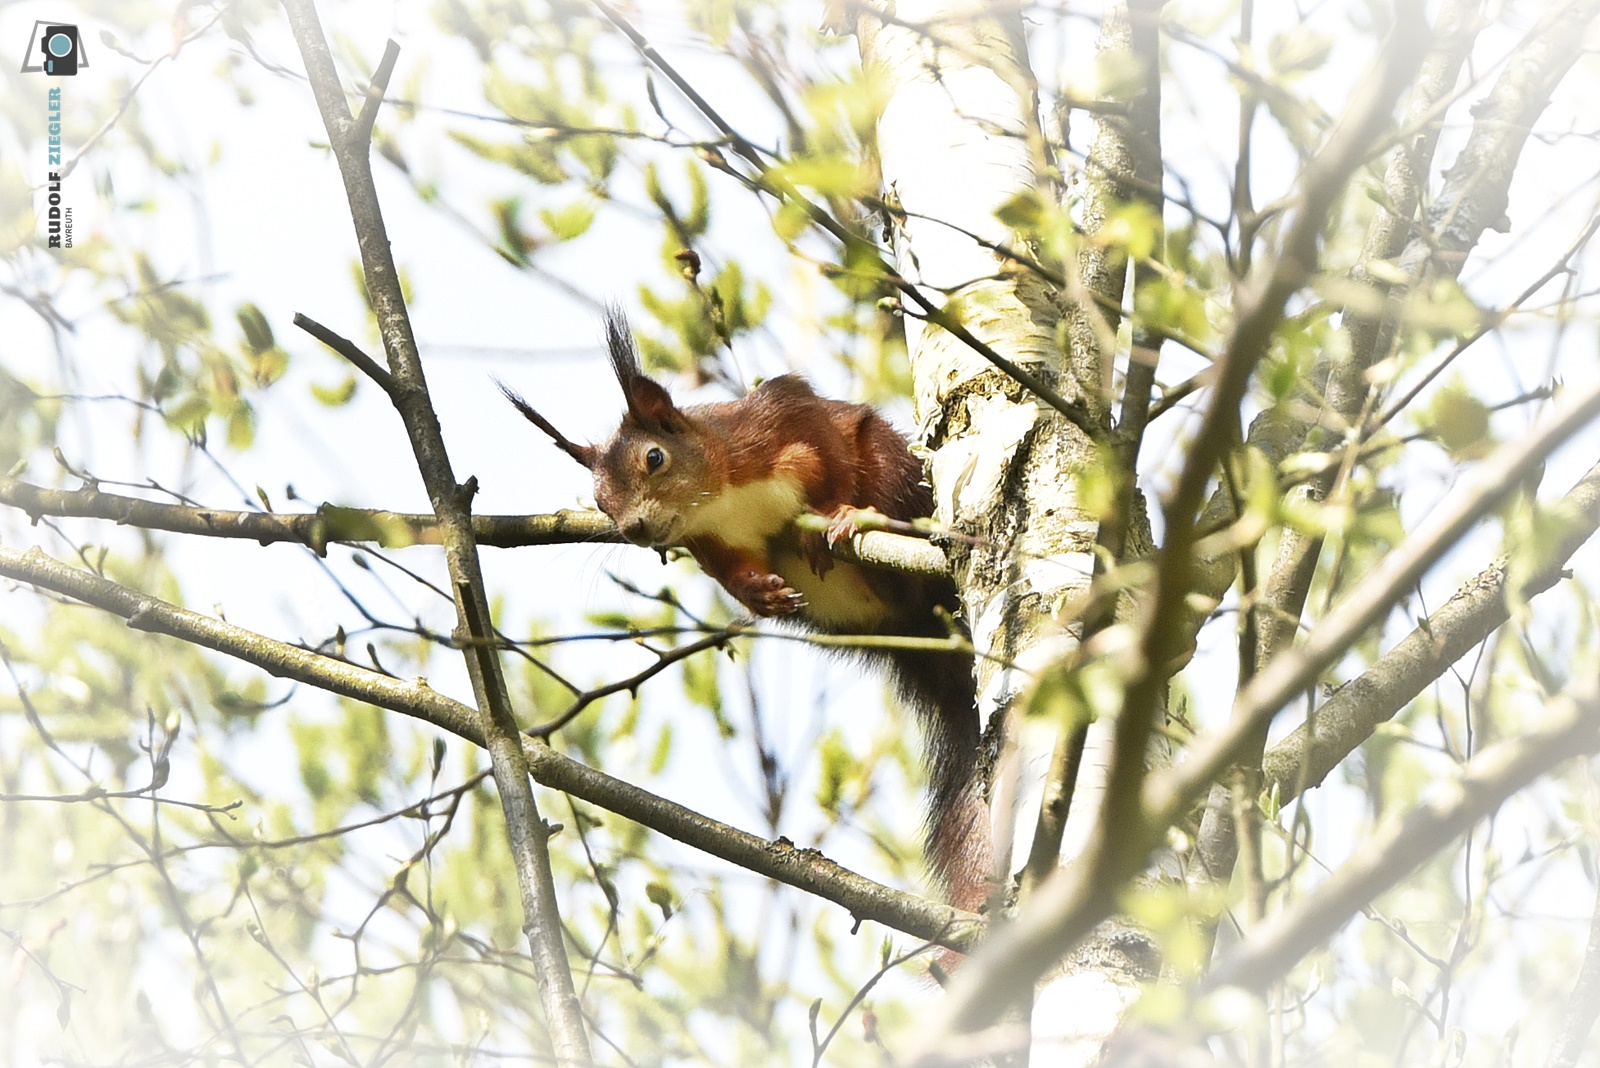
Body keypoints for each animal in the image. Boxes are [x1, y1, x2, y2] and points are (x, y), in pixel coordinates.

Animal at [499, 306, 992, 908]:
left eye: (654, 458)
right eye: (598, 499)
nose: (634, 529)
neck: (719, 499)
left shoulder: (782, 419)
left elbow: (826, 455)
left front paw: (836, 512)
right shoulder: (711, 544)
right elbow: (733, 572)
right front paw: (760, 593)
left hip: (896, 475)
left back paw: (857, 522)